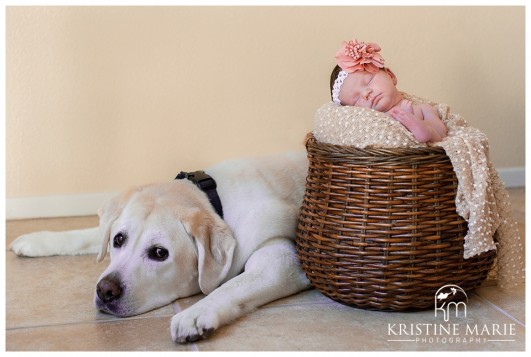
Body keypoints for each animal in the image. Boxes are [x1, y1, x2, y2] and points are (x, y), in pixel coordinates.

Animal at [11, 152, 312, 342]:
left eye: (159, 253)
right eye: (118, 240)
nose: (105, 291)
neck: (215, 202)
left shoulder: (280, 259)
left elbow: (230, 286)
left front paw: (195, 314)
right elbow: (88, 234)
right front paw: (37, 239)